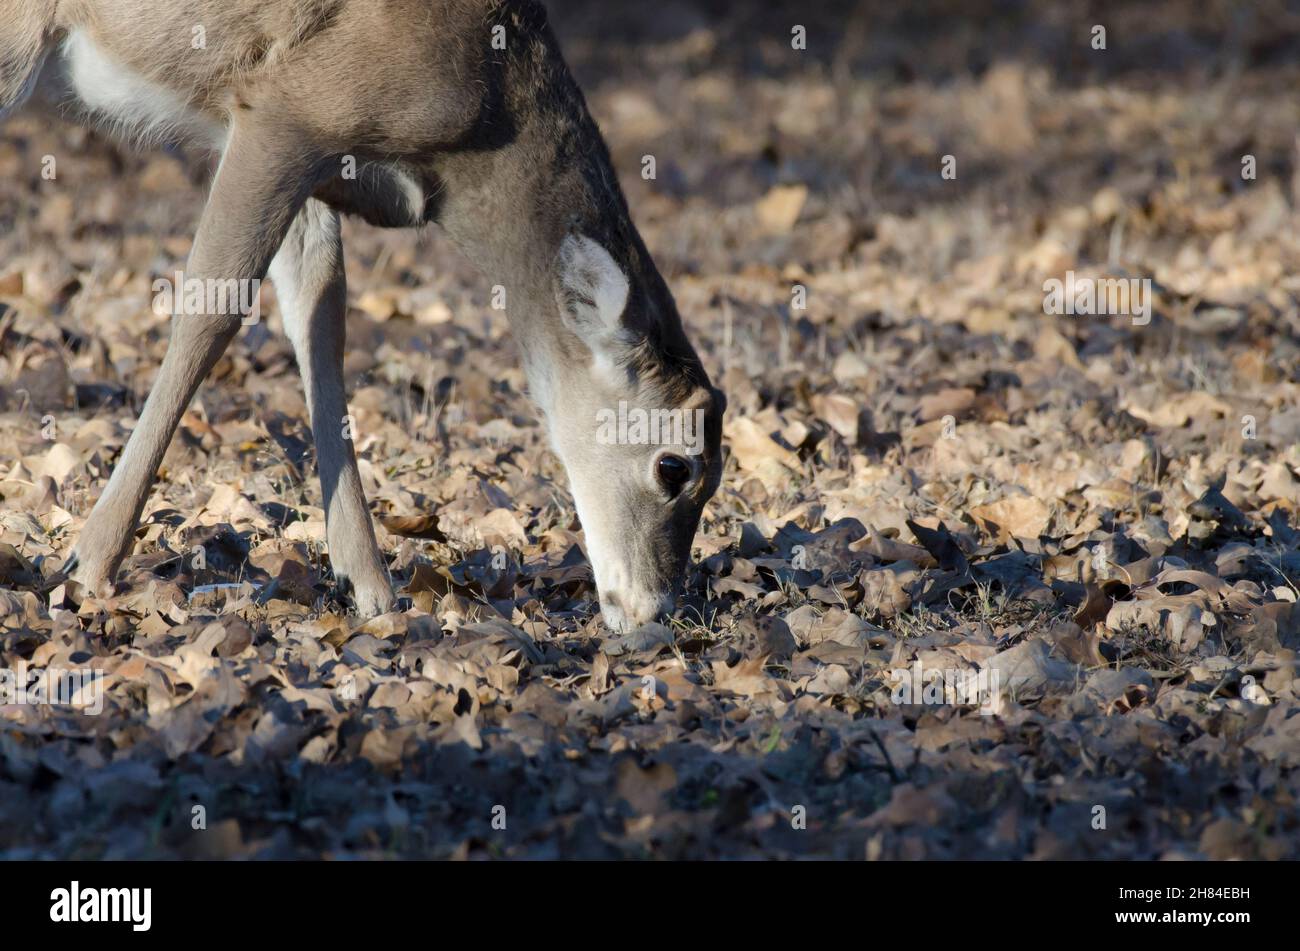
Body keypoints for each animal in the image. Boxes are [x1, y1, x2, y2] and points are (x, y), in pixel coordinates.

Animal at [0, 1, 728, 639]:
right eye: (674, 466)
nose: (659, 611)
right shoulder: (289, 108)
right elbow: (215, 305)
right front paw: (89, 564)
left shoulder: (318, 163)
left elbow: (321, 316)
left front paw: (371, 587)